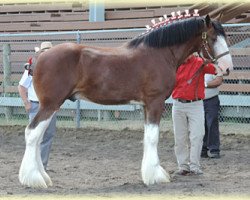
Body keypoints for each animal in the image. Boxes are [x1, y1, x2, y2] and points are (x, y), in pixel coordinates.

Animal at [19, 14, 232, 188]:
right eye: (213, 38)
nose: (227, 68)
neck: (160, 54)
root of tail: (39, 57)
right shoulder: (155, 102)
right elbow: (153, 138)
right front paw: (155, 176)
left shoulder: (146, 105)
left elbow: (147, 137)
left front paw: (150, 174)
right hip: (50, 105)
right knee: (32, 134)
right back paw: (34, 179)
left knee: (38, 137)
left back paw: (41, 176)